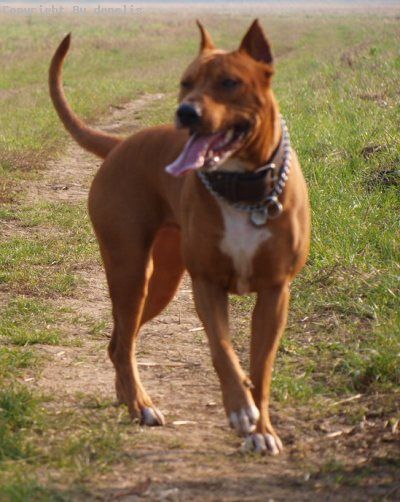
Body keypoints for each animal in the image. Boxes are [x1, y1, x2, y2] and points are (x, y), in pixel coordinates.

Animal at [49, 20, 310, 455]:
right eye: (185, 83)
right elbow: (222, 350)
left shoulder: (275, 292)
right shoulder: (206, 283)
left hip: (162, 282)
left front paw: (262, 430)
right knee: (123, 342)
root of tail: (120, 144)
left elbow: (262, 368)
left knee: (120, 341)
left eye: (229, 82)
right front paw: (240, 410)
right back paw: (141, 405)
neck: (242, 187)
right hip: (131, 272)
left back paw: (129, 399)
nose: (185, 112)